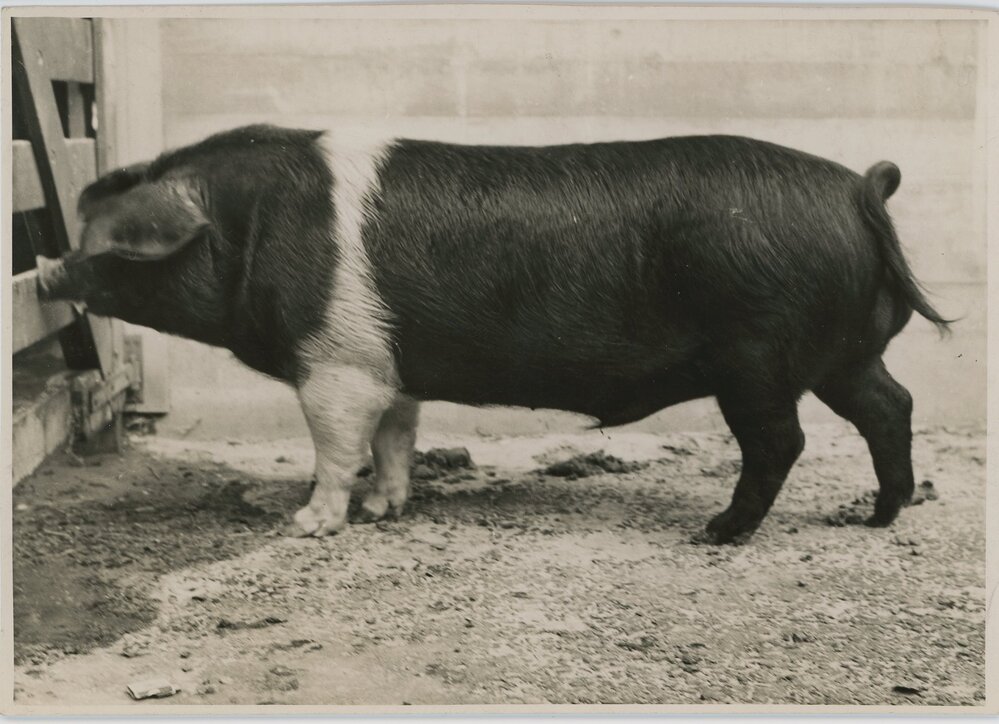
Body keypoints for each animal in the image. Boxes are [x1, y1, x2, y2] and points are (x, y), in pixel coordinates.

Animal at [36, 124, 950, 544]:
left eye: (105, 242)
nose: (45, 269)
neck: (245, 223)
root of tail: (858, 189)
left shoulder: (332, 365)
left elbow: (335, 446)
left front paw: (310, 522)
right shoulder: (387, 368)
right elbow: (395, 438)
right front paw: (384, 509)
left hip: (755, 355)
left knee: (780, 442)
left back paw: (716, 532)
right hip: (844, 353)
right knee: (892, 405)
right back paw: (878, 516)